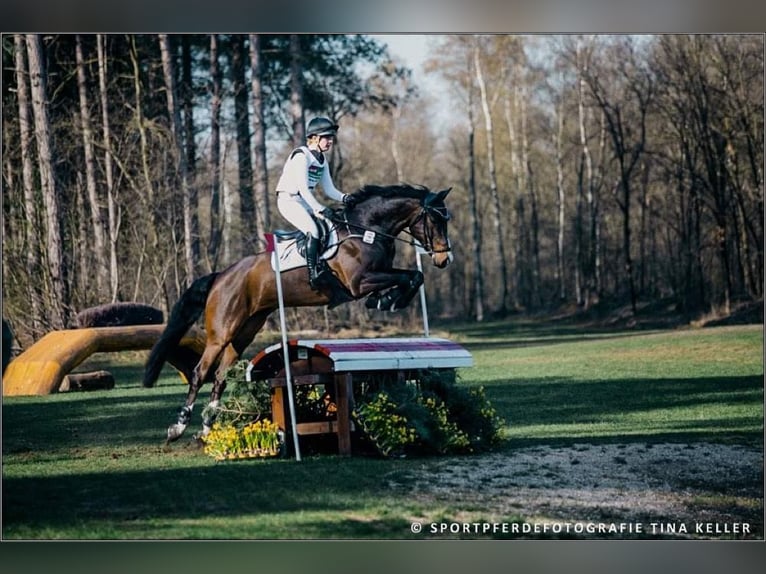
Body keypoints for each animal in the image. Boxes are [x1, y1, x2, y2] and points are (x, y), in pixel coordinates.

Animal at [143, 182, 452, 444]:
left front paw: (387, 300)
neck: (368, 229)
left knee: (220, 376)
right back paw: (178, 428)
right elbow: (409, 277)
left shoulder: (376, 275)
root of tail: (221, 276)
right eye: (435, 221)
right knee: (200, 372)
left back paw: (206, 429)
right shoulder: (359, 283)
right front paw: (386, 300)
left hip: (245, 331)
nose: (444, 259)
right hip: (222, 331)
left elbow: (414, 277)